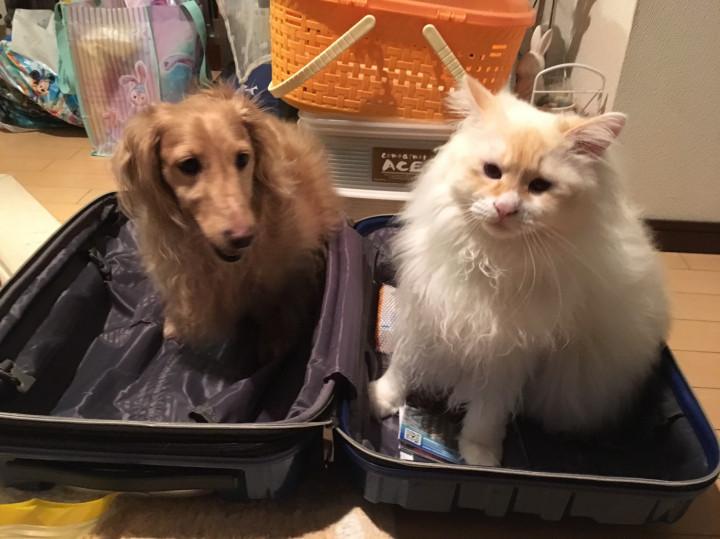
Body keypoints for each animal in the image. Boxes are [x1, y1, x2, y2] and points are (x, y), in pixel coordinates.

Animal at [369, 75, 669, 467]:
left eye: (540, 186)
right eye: (492, 172)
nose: (505, 208)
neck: (491, 260)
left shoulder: (511, 352)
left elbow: (488, 410)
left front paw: (480, 455)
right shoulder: (427, 314)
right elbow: (402, 366)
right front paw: (380, 399)